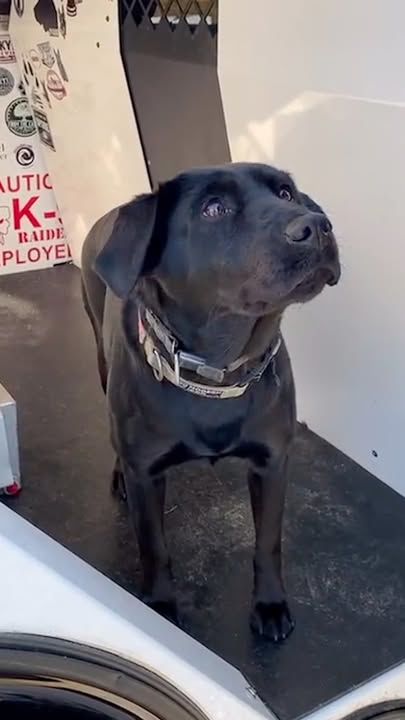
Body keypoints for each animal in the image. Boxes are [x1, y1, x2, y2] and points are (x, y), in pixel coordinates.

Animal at [80, 163, 340, 640]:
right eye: (213, 208)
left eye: (285, 193)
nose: (315, 227)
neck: (219, 372)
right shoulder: (147, 475)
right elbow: (154, 548)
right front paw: (161, 608)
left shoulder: (273, 462)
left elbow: (268, 542)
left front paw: (270, 604)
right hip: (102, 365)